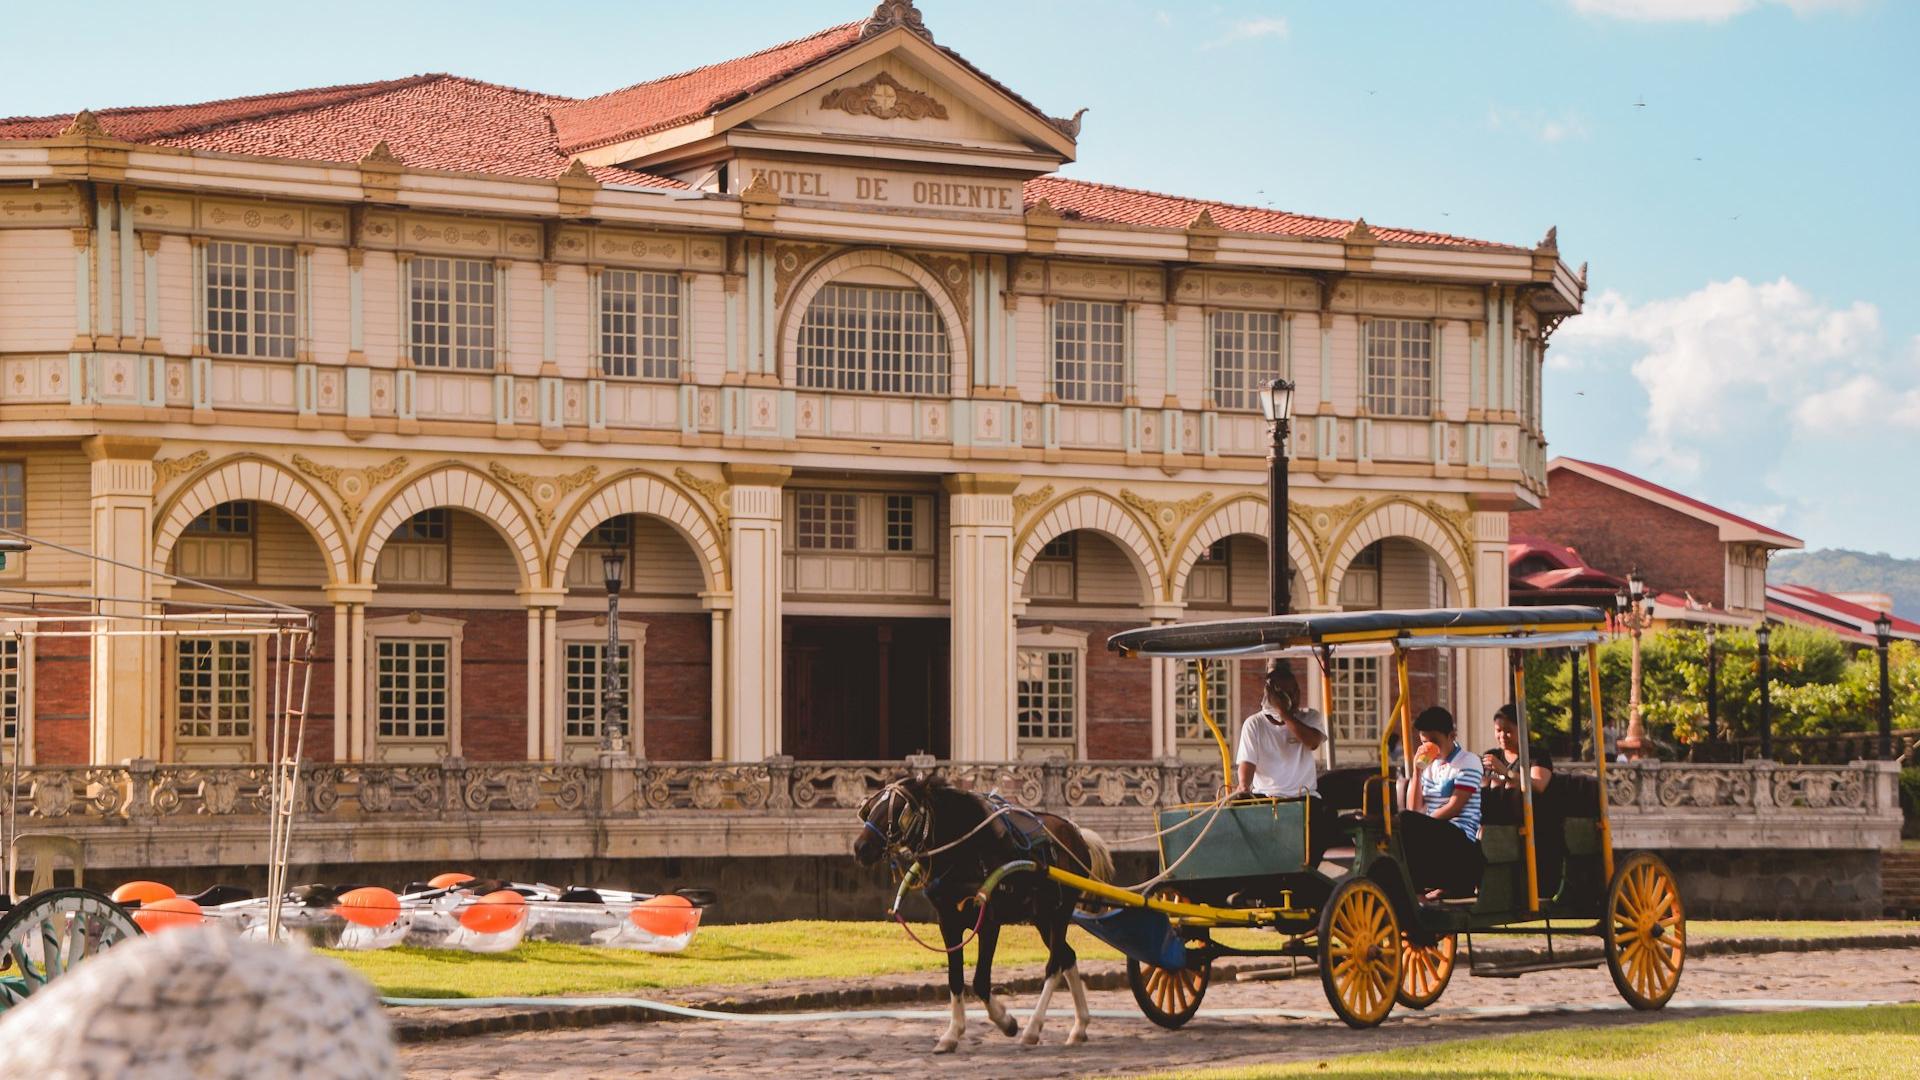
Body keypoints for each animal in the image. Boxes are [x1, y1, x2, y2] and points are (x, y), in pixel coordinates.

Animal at [852, 772, 1121, 1053]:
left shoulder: (990, 922)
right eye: (870, 808)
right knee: (1067, 956)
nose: (860, 847)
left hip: (1060, 912)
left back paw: (1033, 1028)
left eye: (897, 811)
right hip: (1041, 917)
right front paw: (952, 1033)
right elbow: (955, 978)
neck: (967, 852)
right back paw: (1080, 1026)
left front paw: (1007, 1022)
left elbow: (980, 981)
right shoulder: (947, 921)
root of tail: (1077, 833)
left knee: (1055, 963)